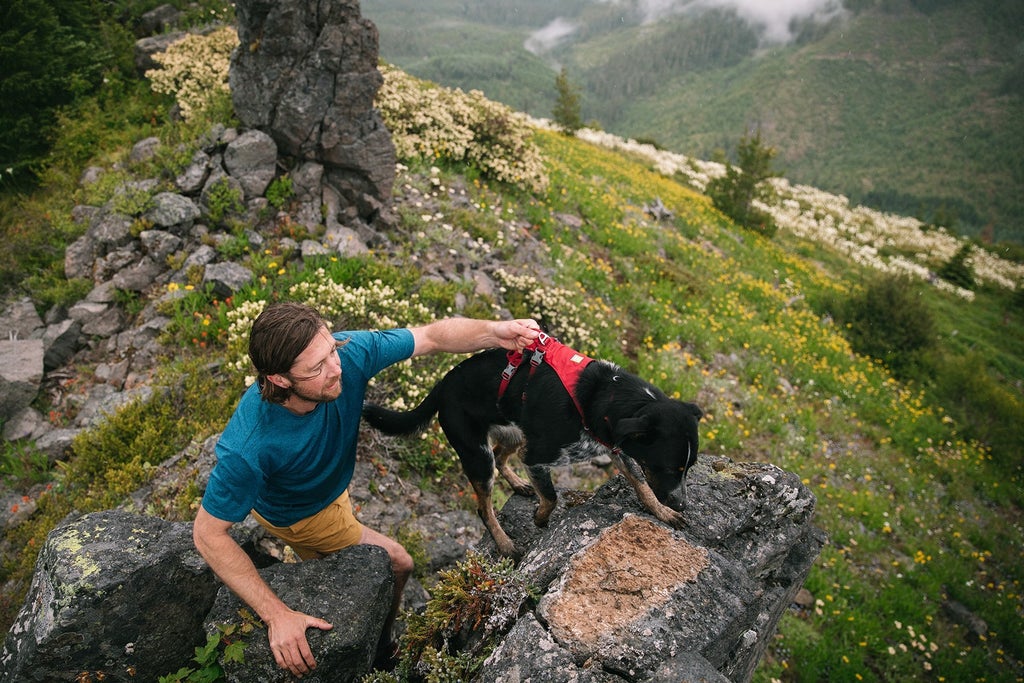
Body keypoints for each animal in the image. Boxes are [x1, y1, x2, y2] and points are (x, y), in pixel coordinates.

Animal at [362, 335, 704, 557]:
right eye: (669, 467)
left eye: (689, 467)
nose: (683, 504)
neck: (604, 396)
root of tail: (442, 384)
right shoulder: (539, 456)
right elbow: (551, 497)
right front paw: (540, 519)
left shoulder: (616, 448)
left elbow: (642, 485)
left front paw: (662, 512)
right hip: (477, 454)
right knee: (484, 505)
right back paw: (504, 544)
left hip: (515, 433)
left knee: (501, 457)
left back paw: (518, 485)